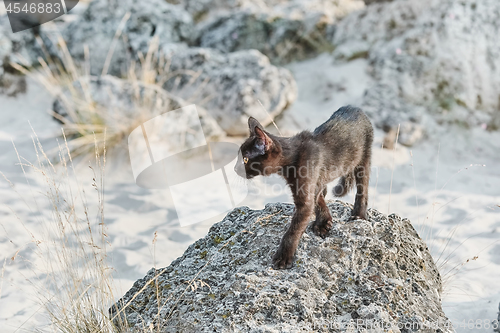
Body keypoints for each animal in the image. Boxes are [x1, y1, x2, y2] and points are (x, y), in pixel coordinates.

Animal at [233, 105, 372, 268]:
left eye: (245, 159)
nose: (235, 169)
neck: (292, 157)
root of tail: (355, 107)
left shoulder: (304, 196)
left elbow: (294, 228)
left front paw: (284, 256)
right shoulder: (312, 183)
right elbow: (318, 200)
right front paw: (323, 222)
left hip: (364, 159)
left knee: (363, 188)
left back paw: (359, 214)